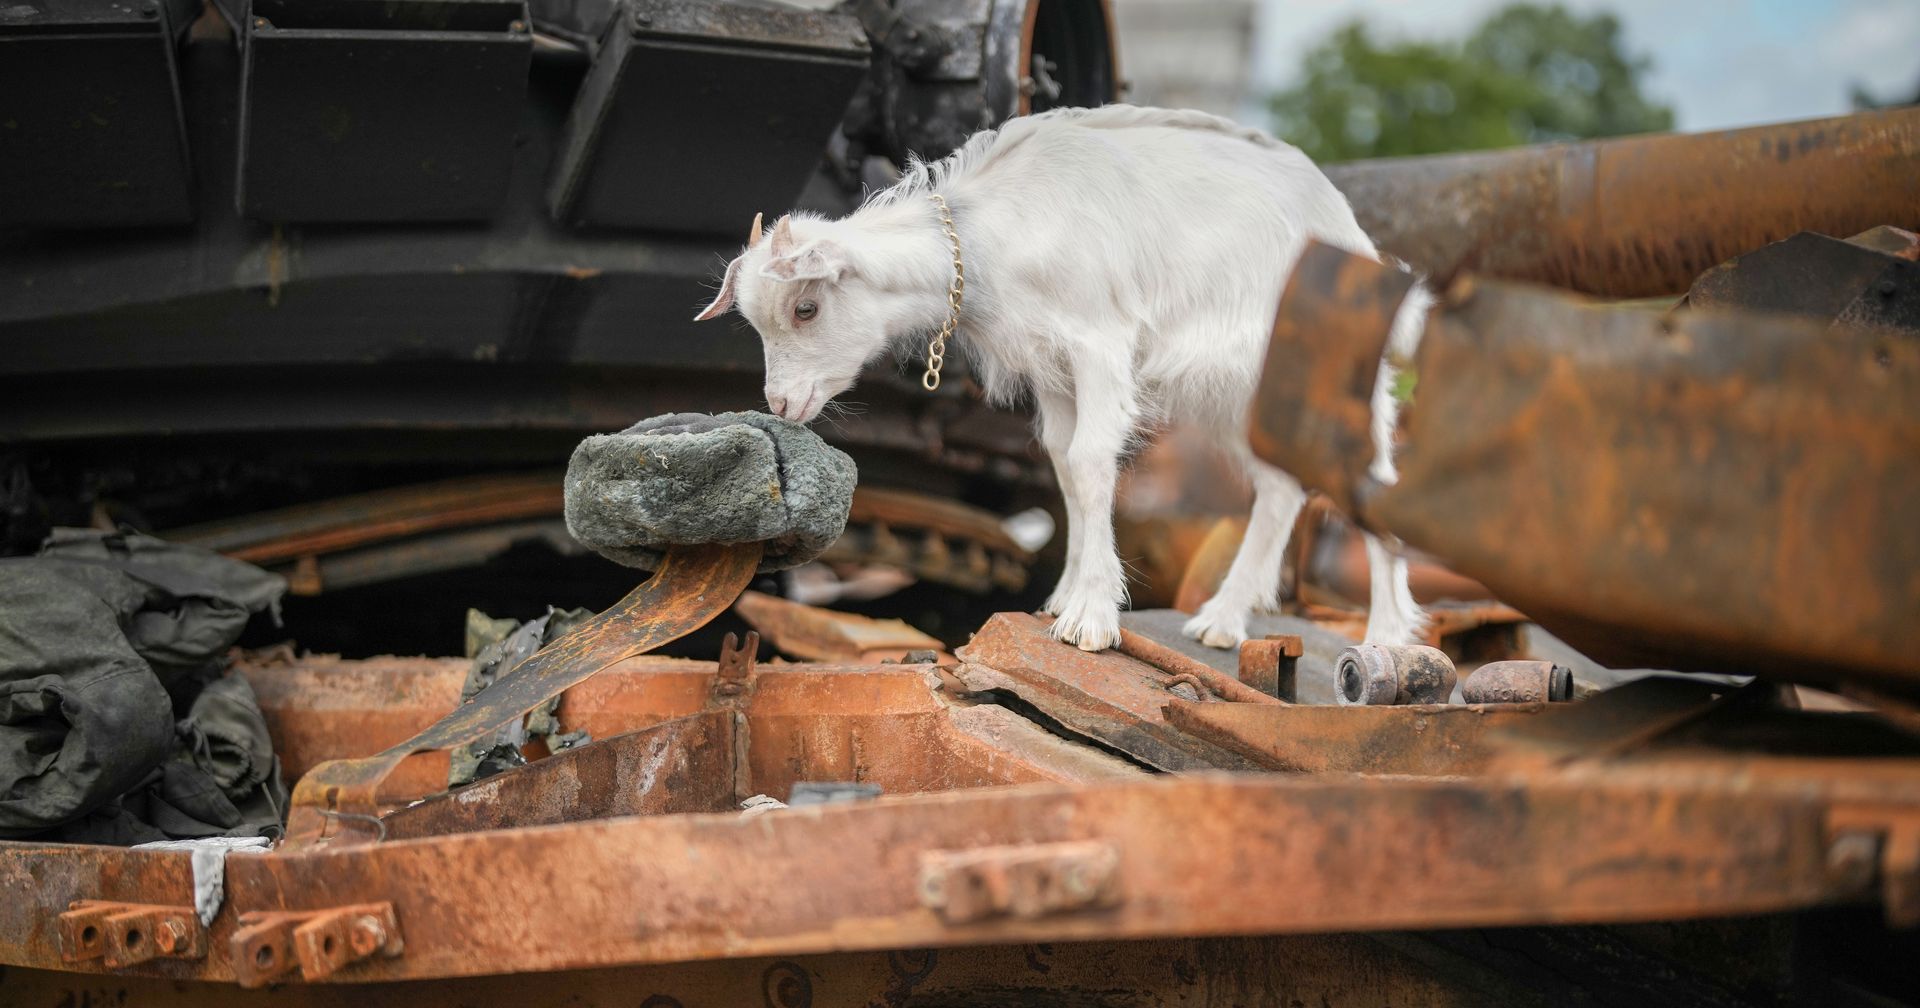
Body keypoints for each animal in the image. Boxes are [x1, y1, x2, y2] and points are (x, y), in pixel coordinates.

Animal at [691, 104, 1428, 652]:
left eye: (805, 307)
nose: (782, 402)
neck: (994, 234)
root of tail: (1347, 224)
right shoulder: (1049, 363)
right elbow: (1065, 466)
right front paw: (1063, 598)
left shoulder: (1099, 342)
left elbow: (1093, 462)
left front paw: (1092, 620)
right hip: (1239, 391)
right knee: (1280, 488)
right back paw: (1222, 622)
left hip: (1340, 370)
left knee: (1373, 477)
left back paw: (1388, 639)